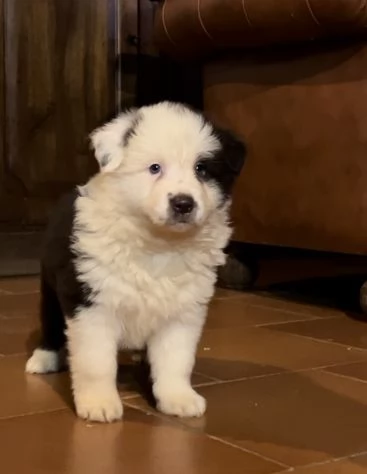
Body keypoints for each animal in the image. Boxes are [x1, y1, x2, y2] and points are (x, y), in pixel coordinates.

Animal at [25, 101, 247, 422]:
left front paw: (178, 398)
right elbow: (96, 363)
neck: (158, 244)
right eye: (155, 168)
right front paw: (99, 404)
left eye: (202, 169)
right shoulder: (91, 304)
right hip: (51, 287)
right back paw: (43, 358)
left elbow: (175, 360)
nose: (183, 203)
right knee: (51, 322)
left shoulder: (183, 312)